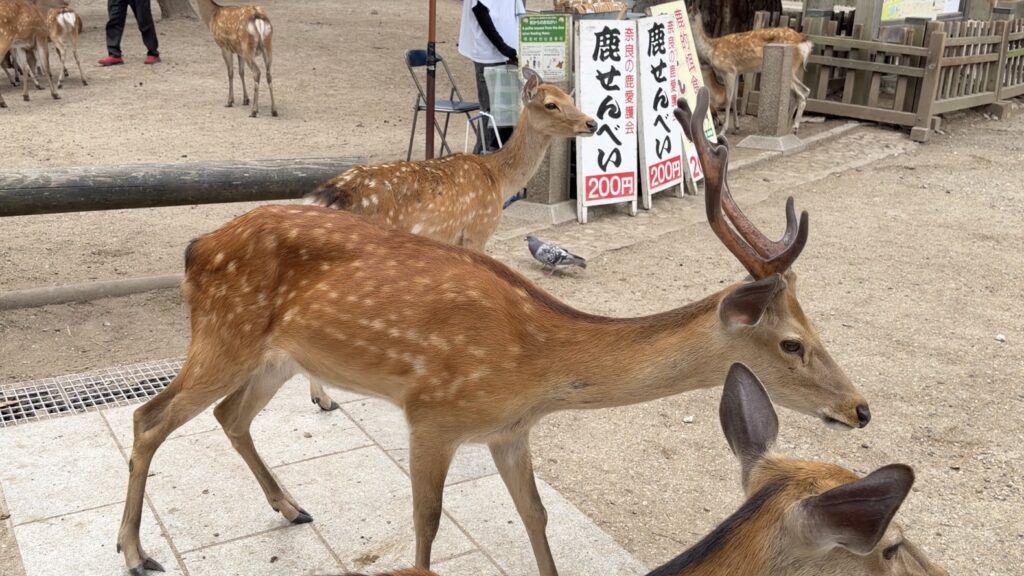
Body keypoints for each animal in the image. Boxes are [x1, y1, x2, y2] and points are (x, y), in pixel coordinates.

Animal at [115, 87, 870, 576]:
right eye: (793, 342)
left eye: (816, 326)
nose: (860, 409)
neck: (536, 366)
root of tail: (195, 248)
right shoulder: (432, 415)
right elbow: (426, 526)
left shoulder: (509, 431)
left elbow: (535, 516)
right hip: (223, 333)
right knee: (150, 417)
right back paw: (134, 551)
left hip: (273, 355)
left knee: (230, 416)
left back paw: (292, 507)